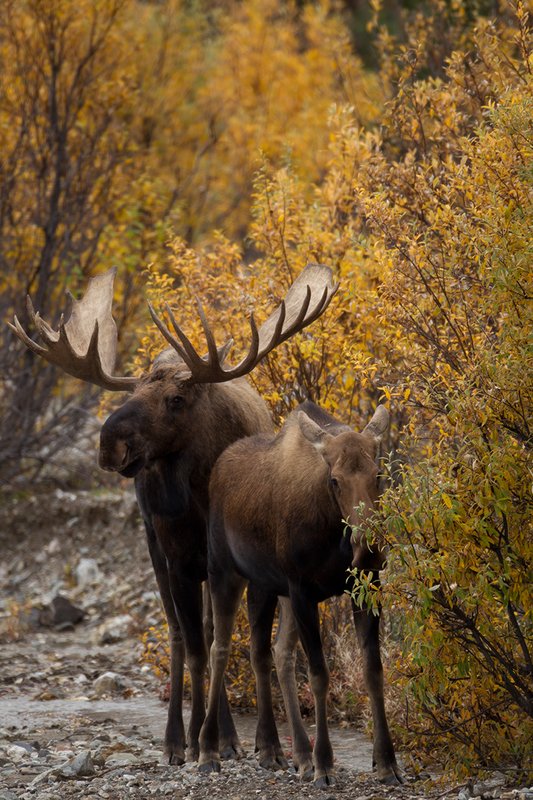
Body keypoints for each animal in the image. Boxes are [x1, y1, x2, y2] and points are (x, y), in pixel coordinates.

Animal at [9, 264, 338, 768]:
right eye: (134, 390)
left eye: (176, 400)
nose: (108, 444)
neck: (201, 494)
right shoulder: (180, 559)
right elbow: (198, 649)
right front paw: (196, 742)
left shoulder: (249, 565)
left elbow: (252, 649)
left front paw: (264, 744)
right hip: (156, 548)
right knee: (180, 633)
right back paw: (180, 737)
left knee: (208, 629)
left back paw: (226, 734)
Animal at [199, 400, 402, 787]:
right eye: (335, 480)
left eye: (378, 475)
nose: (368, 549)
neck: (334, 537)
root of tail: (216, 466)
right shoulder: (303, 590)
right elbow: (320, 676)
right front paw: (324, 764)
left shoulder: (364, 587)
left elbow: (374, 670)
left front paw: (387, 762)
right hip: (223, 572)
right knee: (219, 647)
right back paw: (209, 750)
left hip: (267, 586)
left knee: (269, 653)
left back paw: (279, 751)